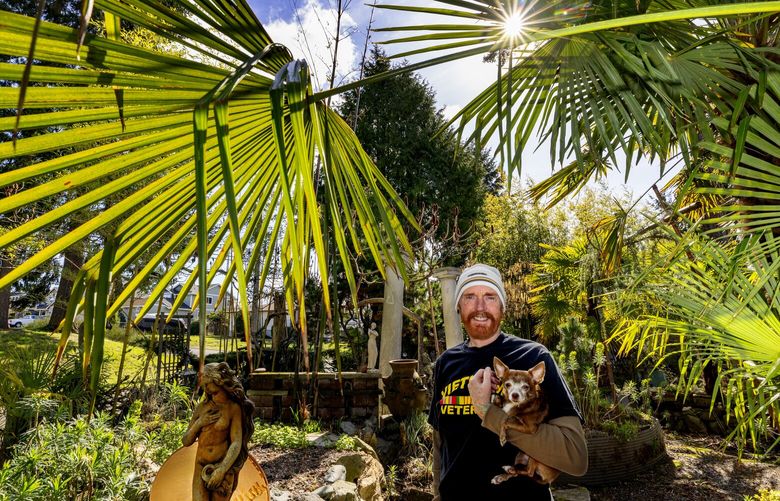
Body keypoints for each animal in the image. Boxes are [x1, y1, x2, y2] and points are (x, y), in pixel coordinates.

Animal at [490, 356, 556, 484]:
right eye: (507, 385)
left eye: (525, 387)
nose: (514, 395)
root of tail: (551, 478)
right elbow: (499, 402)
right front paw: (496, 399)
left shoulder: (529, 428)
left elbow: (507, 419)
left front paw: (502, 437)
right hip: (520, 454)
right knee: (520, 472)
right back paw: (504, 474)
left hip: (536, 454)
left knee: (530, 472)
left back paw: (509, 469)